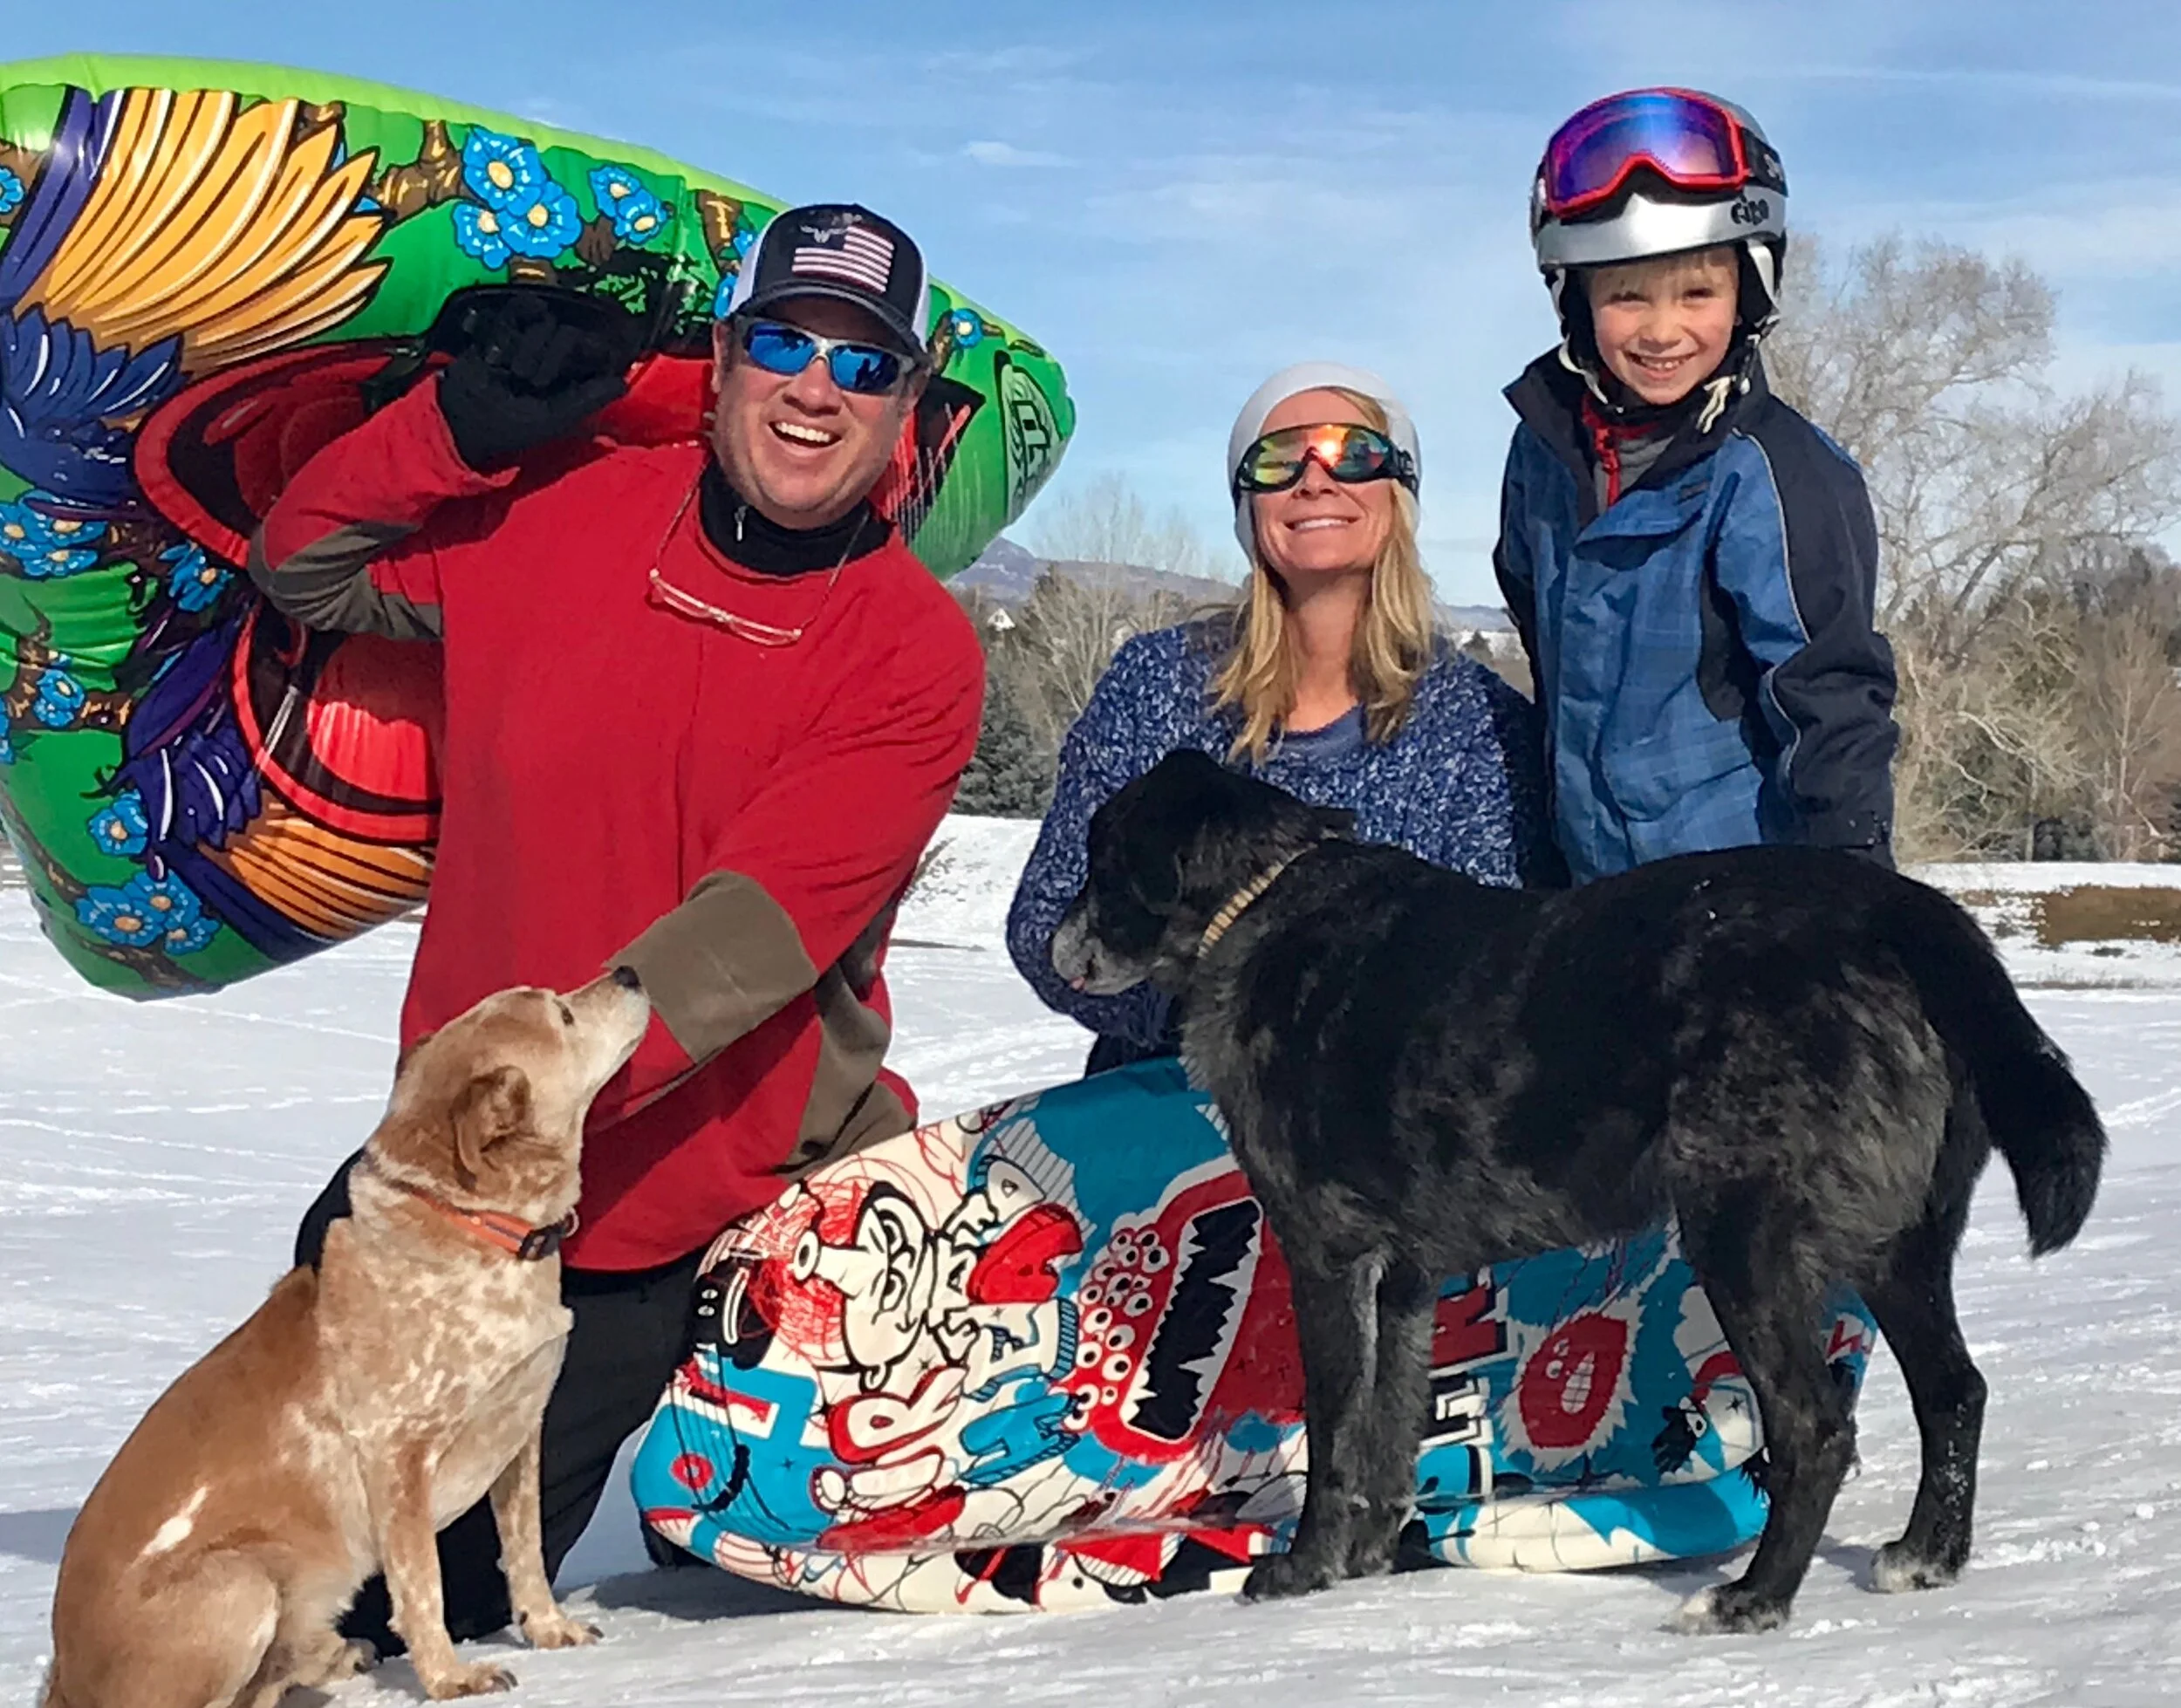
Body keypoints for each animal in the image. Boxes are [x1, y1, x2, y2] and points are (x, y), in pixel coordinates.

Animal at [42, 968, 650, 1701]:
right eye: (562, 1015)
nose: (630, 972)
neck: (474, 1230)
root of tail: (64, 1676)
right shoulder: (399, 1456)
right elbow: (424, 1588)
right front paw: (450, 1678)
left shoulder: (522, 1429)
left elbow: (524, 1549)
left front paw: (550, 1629)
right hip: (241, 1585)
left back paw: (330, 1654)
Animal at [1047, 755, 2102, 1640]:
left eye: (1102, 858)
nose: (1056, 946)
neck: (1261, 901)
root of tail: (1906, 916)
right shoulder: (1410, 1276)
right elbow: (1392, 1428)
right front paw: (1368, 1560)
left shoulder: (1327, 1252)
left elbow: (1338, 1429)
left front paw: (1301, 1570)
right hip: (1897, 1243)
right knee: (1955, 1390)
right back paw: (1926, 1558)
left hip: (1743, 1236)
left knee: (1816, 1426)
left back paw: (1751, 1599)